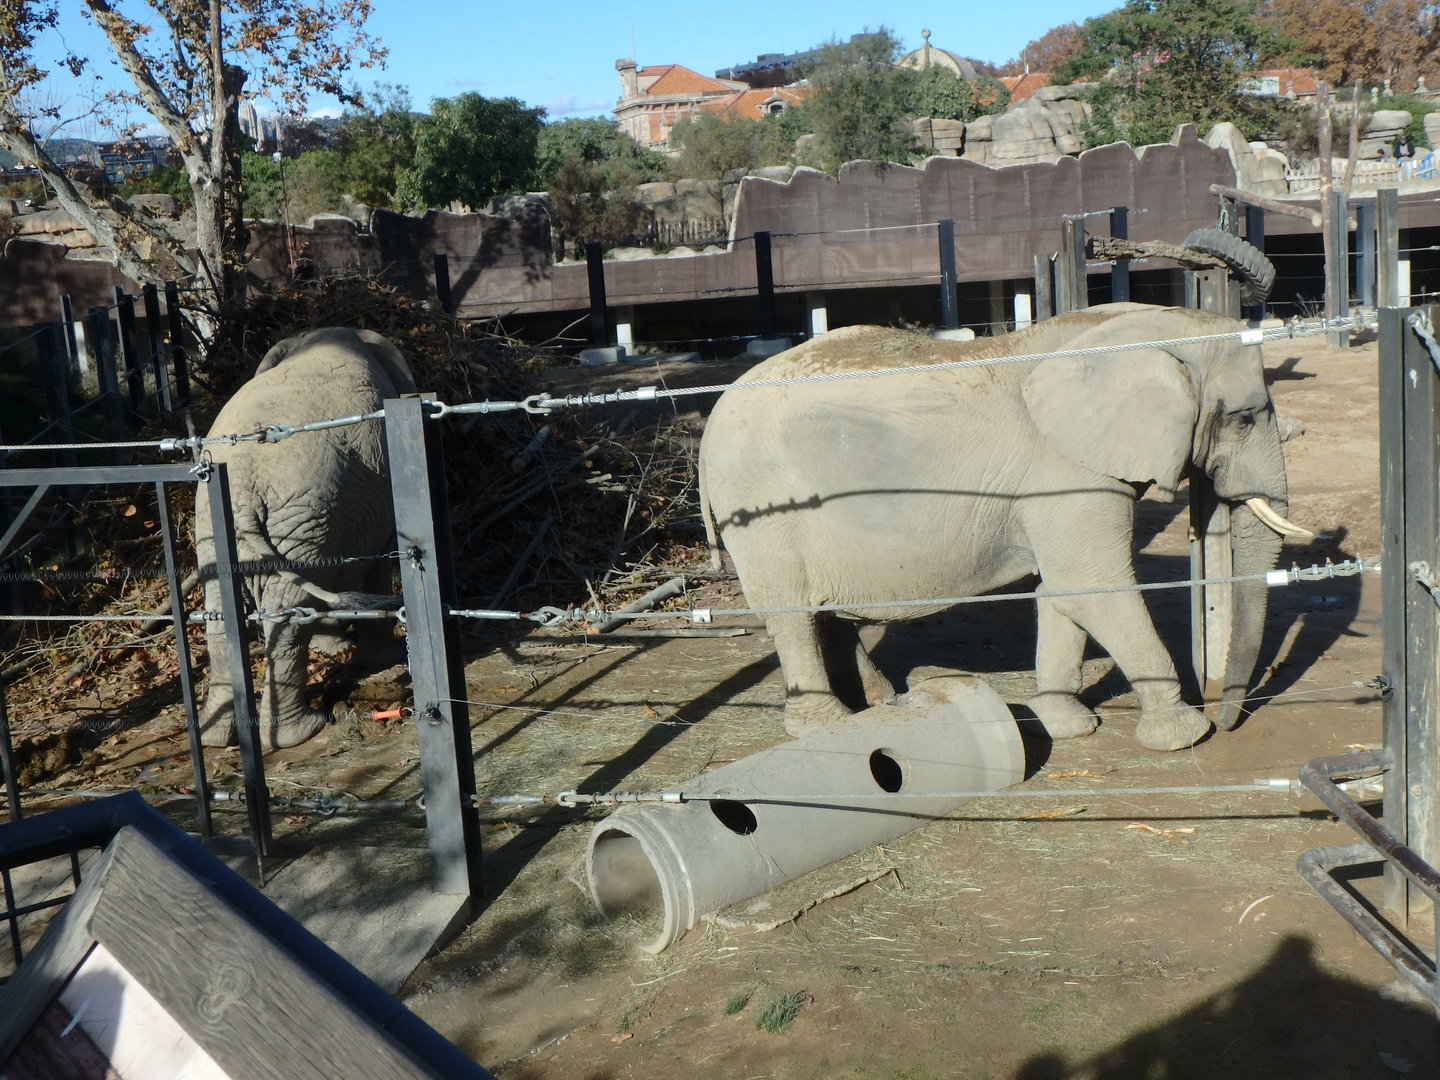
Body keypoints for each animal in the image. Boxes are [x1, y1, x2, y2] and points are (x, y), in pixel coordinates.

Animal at [194, 326, 416, 749]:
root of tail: (243, 487)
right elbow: (376, 563)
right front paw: (382, 656)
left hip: (228, 524)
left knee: (222, 607)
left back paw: (215, 737)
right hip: (307, 512)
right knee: (290, 611)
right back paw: (301, 732)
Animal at [698, 303, 1312, 752]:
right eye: (1243, 419)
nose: (1227, 716)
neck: (1132, 331)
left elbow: (1063, 589)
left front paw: (1066, 727)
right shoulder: (1063, 470)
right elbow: (1094, 582)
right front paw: (1185, 736)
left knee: (825, 612)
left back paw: (880, 702)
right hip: (761, 505)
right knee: (792, 614)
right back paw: (827, 726)